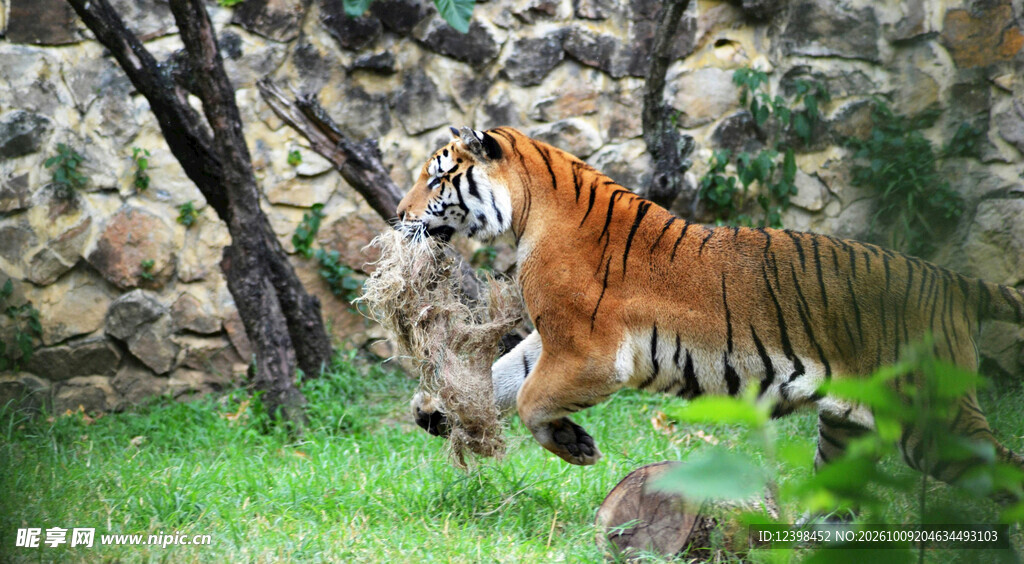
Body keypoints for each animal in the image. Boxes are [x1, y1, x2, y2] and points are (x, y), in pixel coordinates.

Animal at [396, 125, 1024, 495]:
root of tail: (951, 280)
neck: (528, 211)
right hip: (847, 429)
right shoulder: (556, 343)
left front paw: (575, 447)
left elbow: (528, 399)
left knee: (1001, 470)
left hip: (934, 417)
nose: (398, 214)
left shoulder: (590, 353)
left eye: (436, 178)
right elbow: (505, 376)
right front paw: (435, 406)